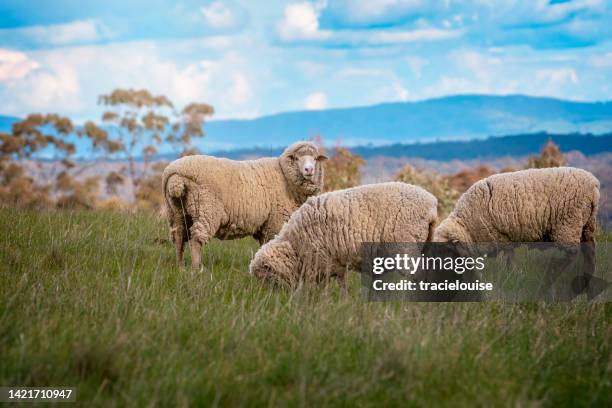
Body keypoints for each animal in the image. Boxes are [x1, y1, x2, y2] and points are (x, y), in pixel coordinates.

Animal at [161, 142, 326, 270]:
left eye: (315, 159)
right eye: (297, 158)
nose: (309, 170)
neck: (285, 176)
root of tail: (175, 174)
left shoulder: (265, 226)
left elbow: (263, 246)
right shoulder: (275, 222)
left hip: (176, 211)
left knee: (178, 236)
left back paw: (180, 267)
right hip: (206, 209)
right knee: (196, 239)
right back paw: (196, 269)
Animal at [250, 183, 440, 288]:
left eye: (266, 277)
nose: (271, 297)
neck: (294, 245)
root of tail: (431, 204)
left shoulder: (321, 260)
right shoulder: (336, 262)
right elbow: (342, 284)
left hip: (405, 246)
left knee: (417, 276)